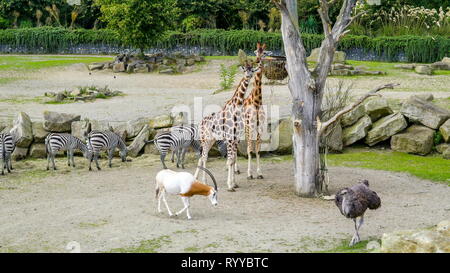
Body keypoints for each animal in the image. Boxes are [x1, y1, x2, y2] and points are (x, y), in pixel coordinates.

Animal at [195, 59, 258, 191]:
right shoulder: (229, 139)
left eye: (252, 70)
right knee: (204, 157)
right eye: (245, 70)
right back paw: (204, 181)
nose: (248, 76)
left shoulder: (235, 139)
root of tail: (200, 122)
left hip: (211, 140)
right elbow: (230, 160)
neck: (237, 107)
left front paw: (234, 183)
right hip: (205, 139)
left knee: (202, 157)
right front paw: (230, 186)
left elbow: (233, 160)